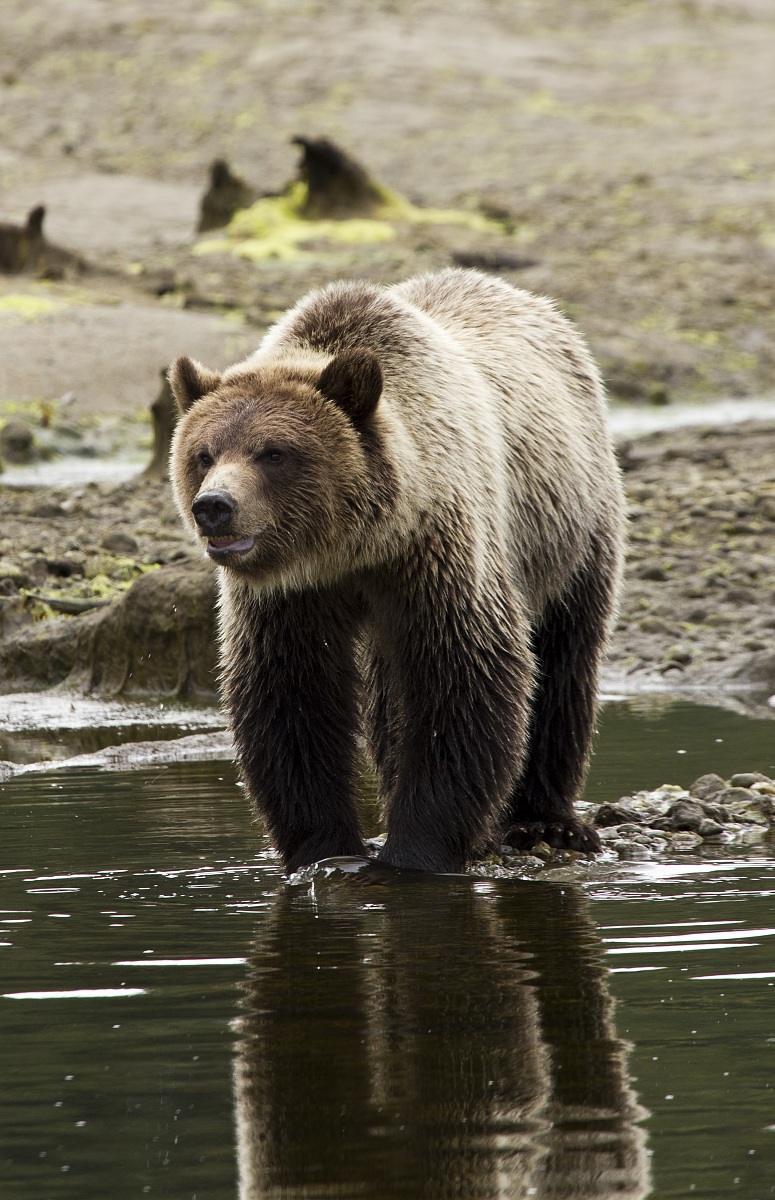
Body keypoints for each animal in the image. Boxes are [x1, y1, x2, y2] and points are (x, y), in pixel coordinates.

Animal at [169, 268, 626, 874]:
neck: (351, 547)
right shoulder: (288, 597)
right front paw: (325, 849)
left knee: (564, 656)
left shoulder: (436, 552)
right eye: (204, 452)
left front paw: (417, 851)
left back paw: (545, 820)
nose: (215, 506)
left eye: (274, 452)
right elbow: (290, 695)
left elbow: (462, 677)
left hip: (571, 527)